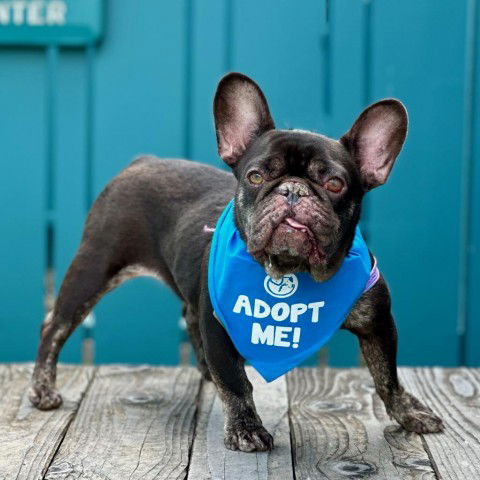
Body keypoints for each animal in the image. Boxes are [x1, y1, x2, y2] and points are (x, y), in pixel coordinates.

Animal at [29, 73, 442, 452]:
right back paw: (43, 389)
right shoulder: (220, 326)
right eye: (256, 176)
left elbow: (387, 375)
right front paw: (246, 428)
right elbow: (236, 383)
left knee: (188, 314)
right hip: (94, 266)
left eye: (335, 184)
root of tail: (140, 163)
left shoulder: (378, 323)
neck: (291, 270)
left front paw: (408, 413)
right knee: (55, 326)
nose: (293, 190)